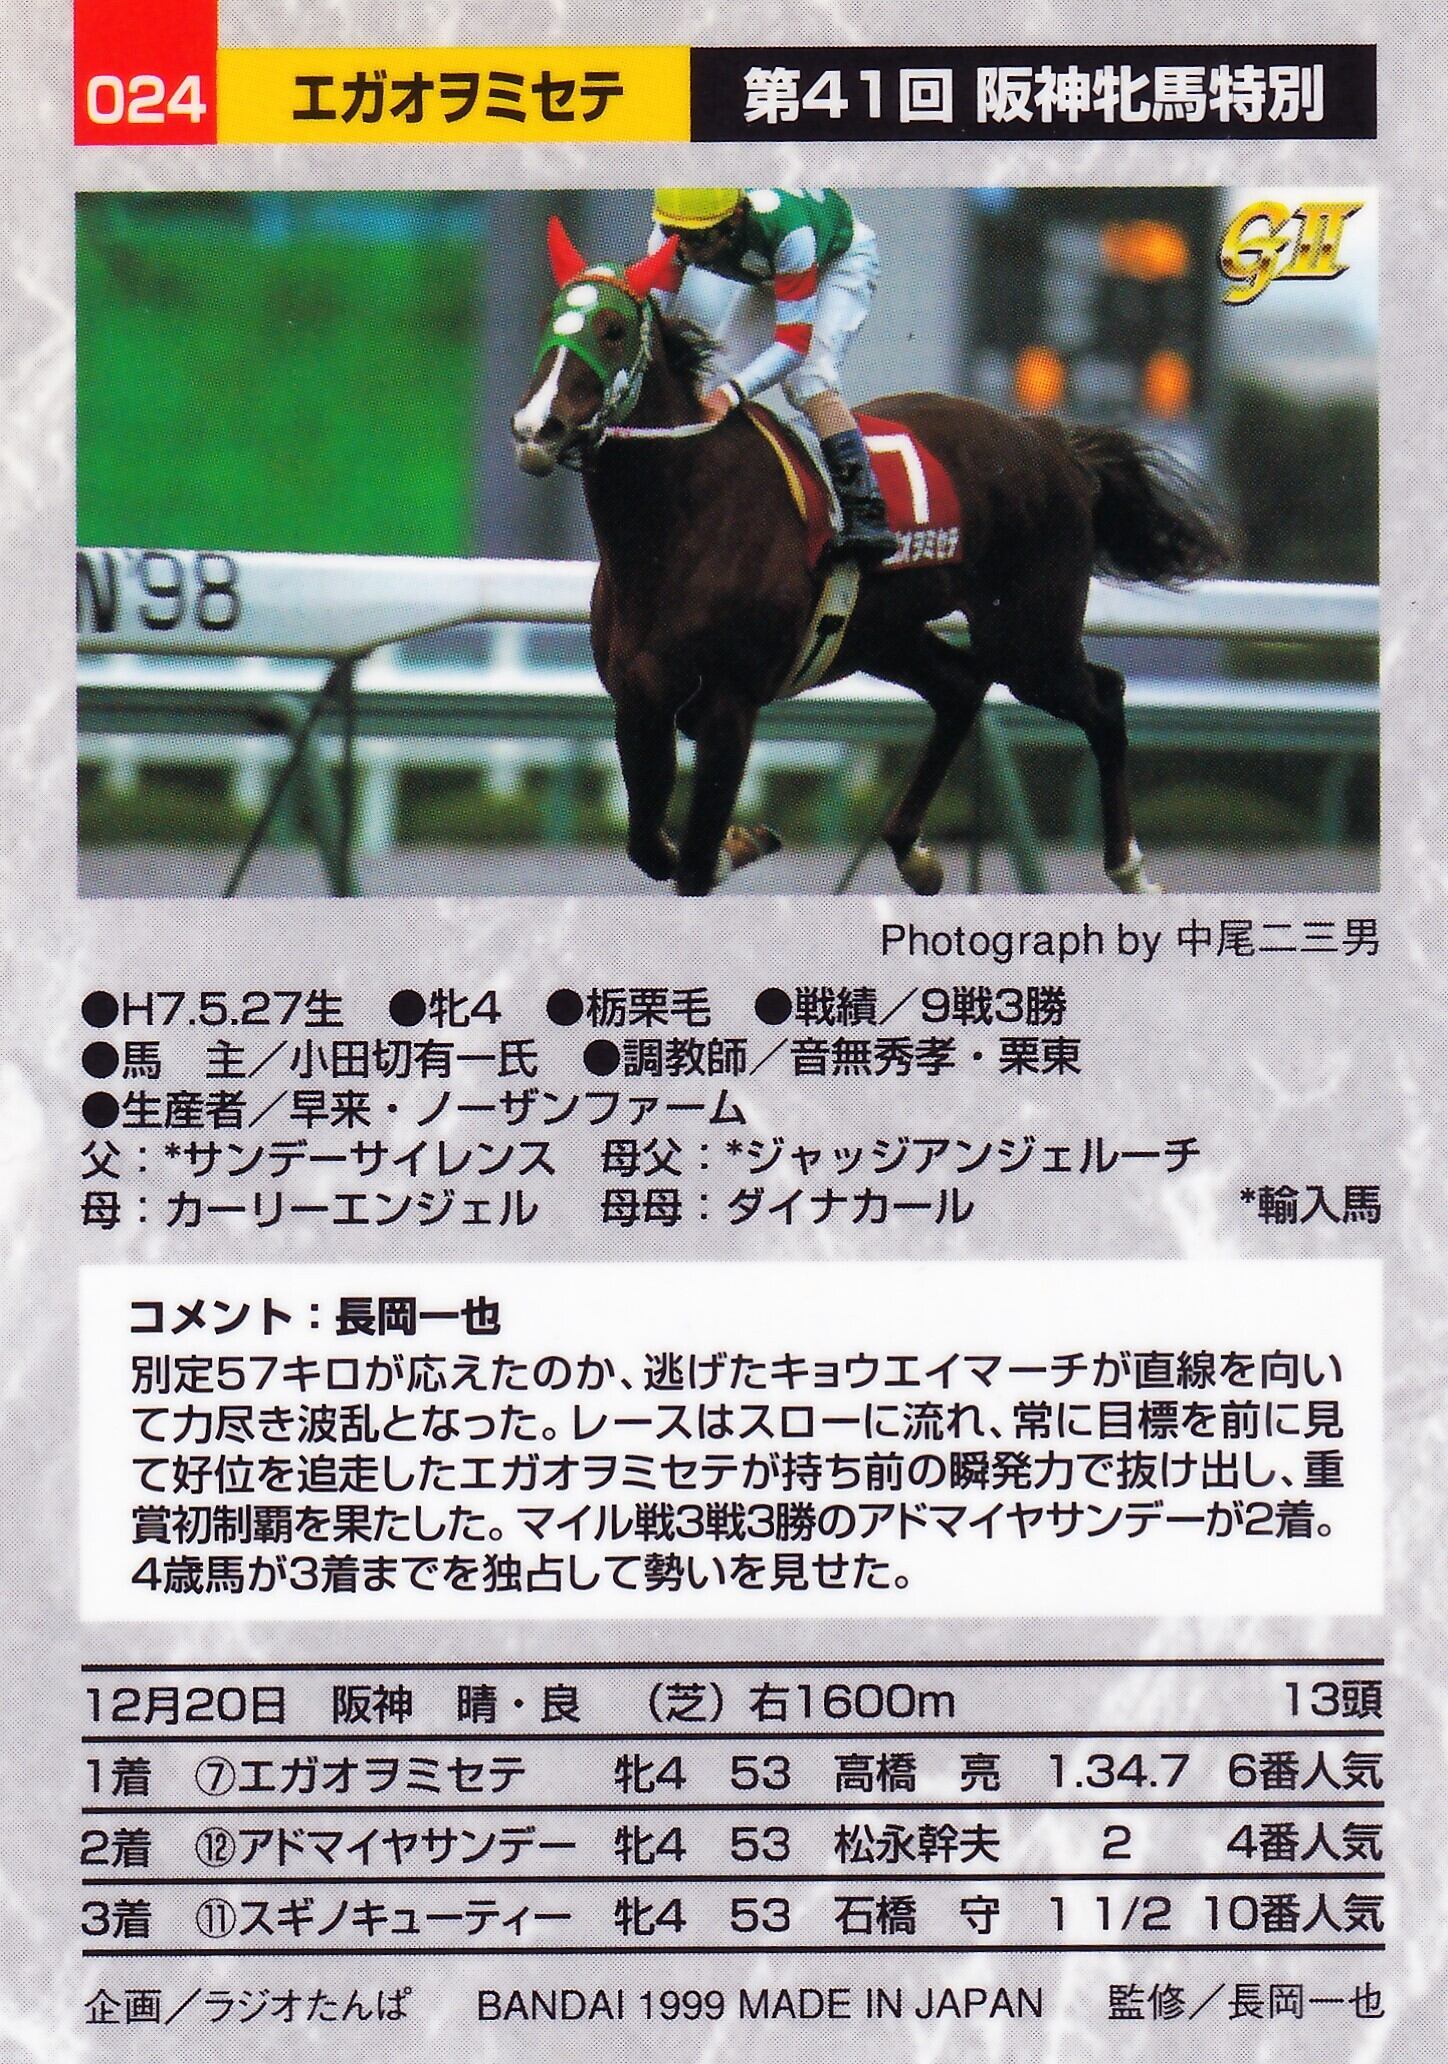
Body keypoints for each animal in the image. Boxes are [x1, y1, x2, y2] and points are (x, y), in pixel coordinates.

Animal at [511, 219, 1232, 897]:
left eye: (612, 330)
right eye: (549, 319)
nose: (536, 428)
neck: (674, 530)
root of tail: (1049, 439)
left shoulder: (729, 707)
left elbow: (687, 865)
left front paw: (729, 847)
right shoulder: (640, 703)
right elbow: (650, 849)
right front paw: (742, 842)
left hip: (1031, 637)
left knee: (1103, 699)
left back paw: (1129, 869)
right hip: (884, 633)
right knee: (962, 689)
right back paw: (913, 852)